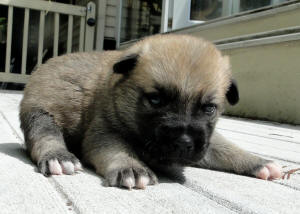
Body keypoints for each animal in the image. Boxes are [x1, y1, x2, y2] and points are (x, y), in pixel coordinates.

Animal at [19, 33, 282, 189]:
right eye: (155, 100)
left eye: (209, 108)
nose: (184, 143)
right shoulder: (105, 134)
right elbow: (117, 150)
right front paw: (131, 168)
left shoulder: (205, 139)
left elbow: (226, 149)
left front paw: (258, 162)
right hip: (41, 114)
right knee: (46, 136)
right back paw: (59, 157)